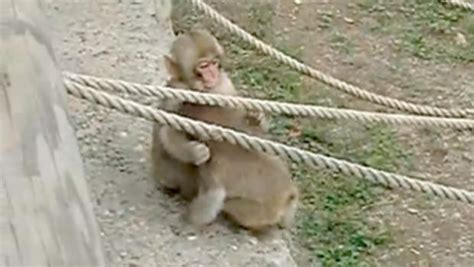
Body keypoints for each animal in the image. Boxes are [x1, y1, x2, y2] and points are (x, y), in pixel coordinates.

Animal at [150, 29, 298, 231]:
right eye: (203, 66)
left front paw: (257, 116)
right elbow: (169, 131)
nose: (213, 74)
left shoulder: (224, 84)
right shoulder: (177, 94)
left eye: (214, 63)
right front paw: (196, 152)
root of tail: (287, 196)